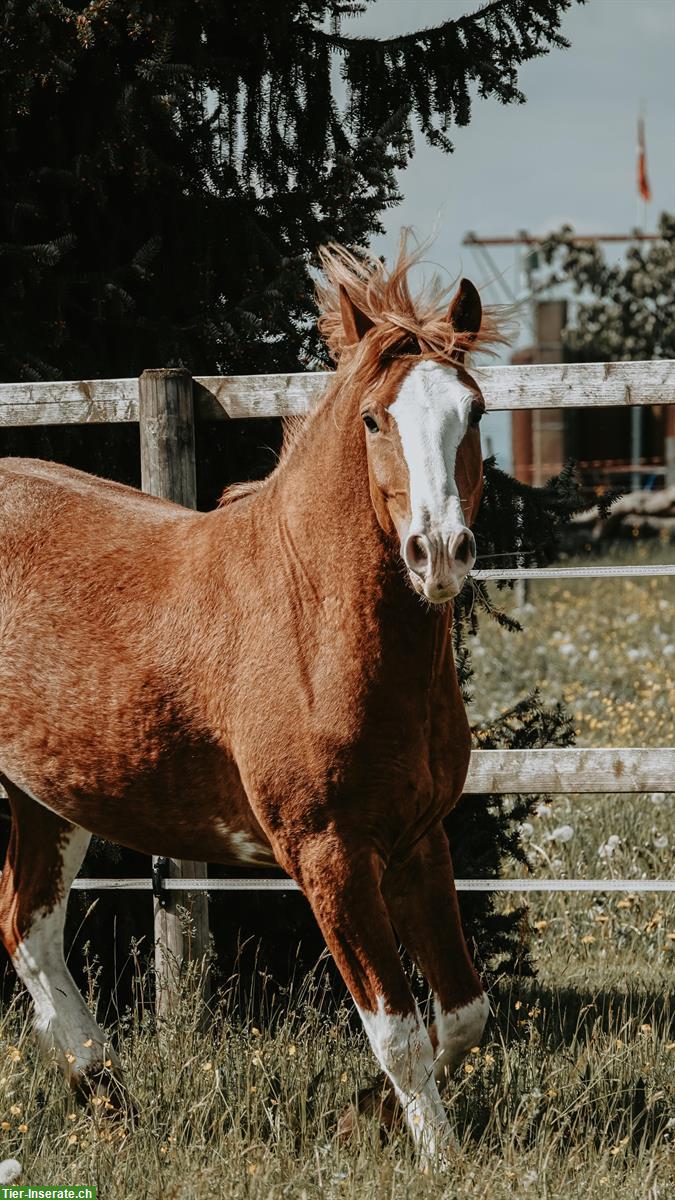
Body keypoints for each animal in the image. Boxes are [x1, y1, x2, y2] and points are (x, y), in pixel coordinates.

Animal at [0, 241, 504, 1161]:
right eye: (372, 420)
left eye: (474, 411)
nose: (439, 552)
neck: (311, 618)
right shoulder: (327, 853)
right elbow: (398, 1033)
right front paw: (437, 1157)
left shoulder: (418, 840)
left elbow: (462, 1014)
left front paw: (362, 1116)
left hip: (47, 795)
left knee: (29, 927)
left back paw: (109, 1101)